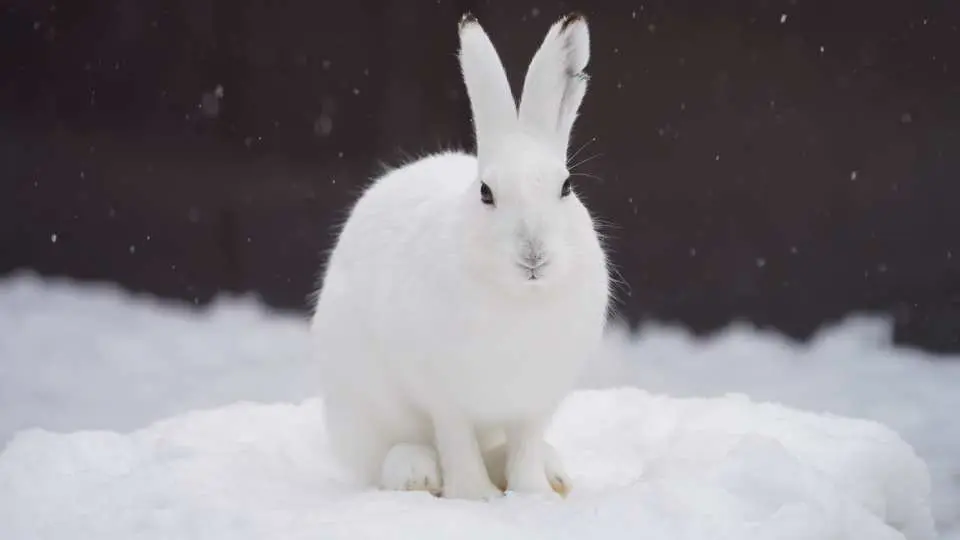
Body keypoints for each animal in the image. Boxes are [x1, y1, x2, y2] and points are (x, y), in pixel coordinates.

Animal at [310, 11, 610, 501]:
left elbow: (524, 447)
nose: (534, 254)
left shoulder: (533, 403)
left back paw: (555, 475)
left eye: (566, 187)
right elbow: (457, 442)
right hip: (364, 406)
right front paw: (476, 496)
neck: (519, 298)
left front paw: (533, 495)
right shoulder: (446, 397)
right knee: (389, 455)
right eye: (486, 193)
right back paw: (416, 474)